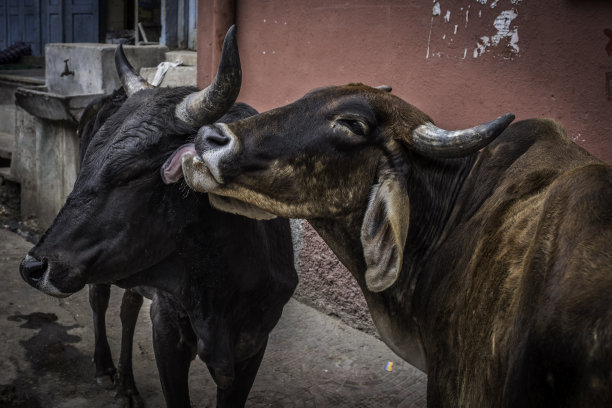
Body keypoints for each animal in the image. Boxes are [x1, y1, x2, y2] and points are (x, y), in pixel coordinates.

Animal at [19, 27, 296, 406]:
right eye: (87, 162)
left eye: (132, 172)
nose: (33, 267)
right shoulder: (166, 327)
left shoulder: (255, 341)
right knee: (100, 299)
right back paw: (106, 368)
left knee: (129, 306)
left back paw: (127, 384)